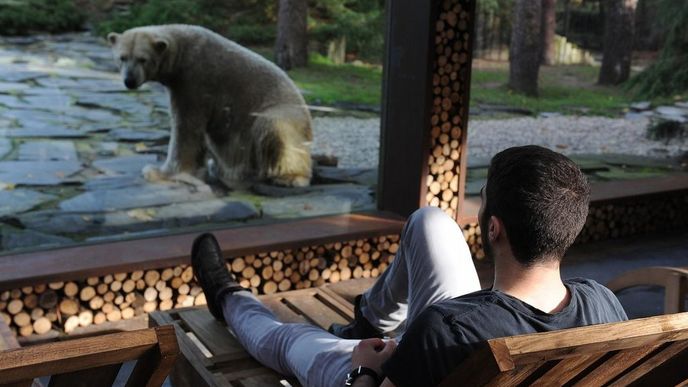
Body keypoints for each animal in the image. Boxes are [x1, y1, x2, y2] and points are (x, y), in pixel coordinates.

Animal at [107, 24, 312, 188]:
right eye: (122, 57)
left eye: (142, 59)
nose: (129, 80)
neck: (182, 53)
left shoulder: (195, 80)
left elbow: (185, 127)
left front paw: (158, 172)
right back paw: (226, 170)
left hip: (283, 111)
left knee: (272, 126)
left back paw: (291, 177)